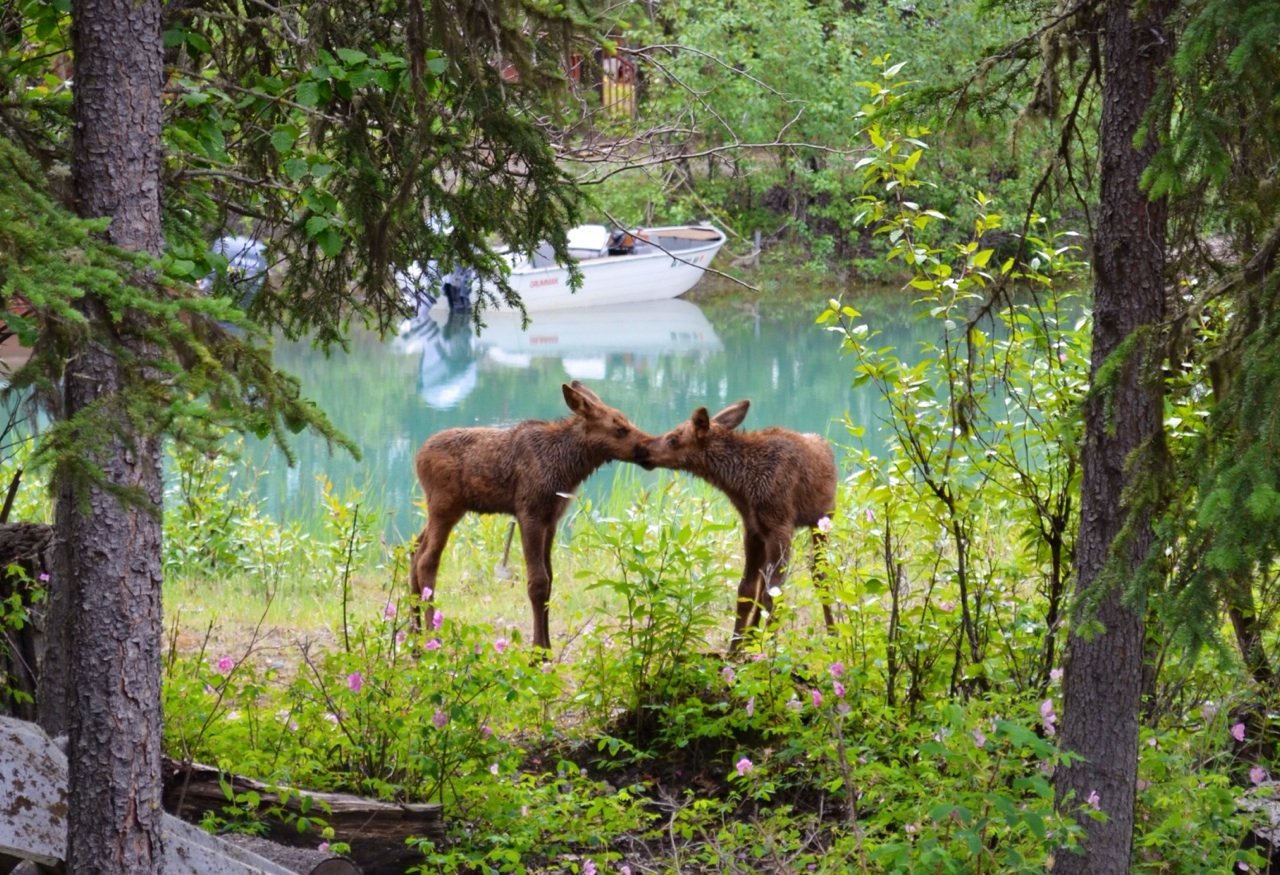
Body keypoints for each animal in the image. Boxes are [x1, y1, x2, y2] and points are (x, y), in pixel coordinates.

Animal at [409, 381, 650, 649]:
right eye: (620, 429)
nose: (648, 446)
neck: (568, 466)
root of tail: (417, 458)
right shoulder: (530, 514)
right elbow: (538, 583)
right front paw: (539, 650)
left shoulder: (551, 520)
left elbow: (550, 579)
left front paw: (547, 646)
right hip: (444, 507)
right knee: (427, 560)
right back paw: (432, 636)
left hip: (445, 510)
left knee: (414, 549)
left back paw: (414, 636)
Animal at [640, 399, 839, 644]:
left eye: (673, 439)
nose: (643, 450)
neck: (740, 485)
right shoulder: (753, 530)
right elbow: (747, 590)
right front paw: (736, 647)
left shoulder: (780, 526)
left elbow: (774, 593)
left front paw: (769, 647)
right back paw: (752, 637)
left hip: (822, 520)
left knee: (819, 573)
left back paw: (833, 632)